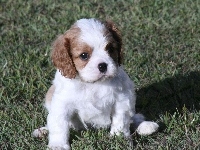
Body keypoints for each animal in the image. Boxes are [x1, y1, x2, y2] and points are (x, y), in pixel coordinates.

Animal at [32, 18, 159, 149]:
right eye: (84, 55)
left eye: (110, 49)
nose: (103, 66)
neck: (93, 84)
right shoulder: (61, 104)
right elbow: (59, 125)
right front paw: (58, 145)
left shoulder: (122, 99)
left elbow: (121, 120)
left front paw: (119, 138)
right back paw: (42, 131)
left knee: (133, 118)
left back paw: (145, 126)